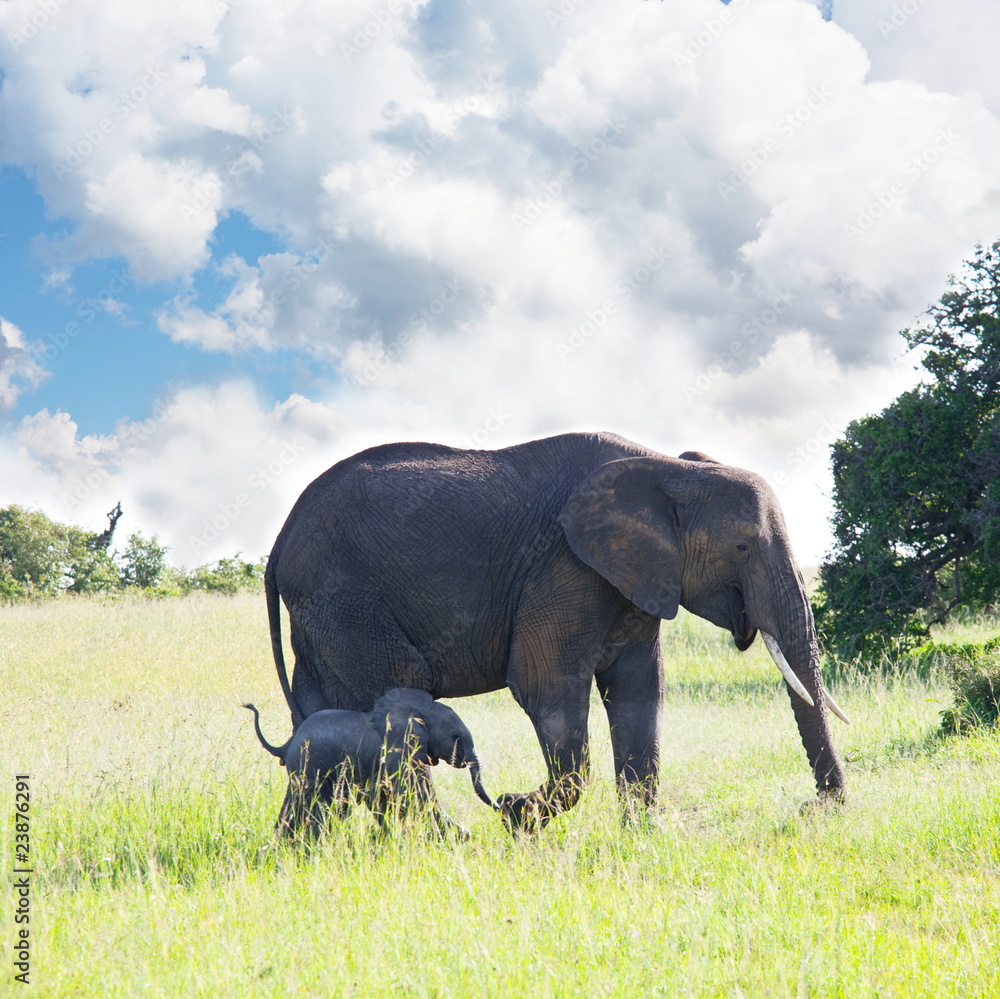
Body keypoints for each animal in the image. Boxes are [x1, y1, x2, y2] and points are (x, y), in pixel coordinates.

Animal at [244, 687, 497, 837]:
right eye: (456, 737)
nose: (501, 801)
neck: (421, 711)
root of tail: (286, 744)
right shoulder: (397, 752)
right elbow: (413, 792)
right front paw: (457, 835)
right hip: (311, 765)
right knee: (316, 803)